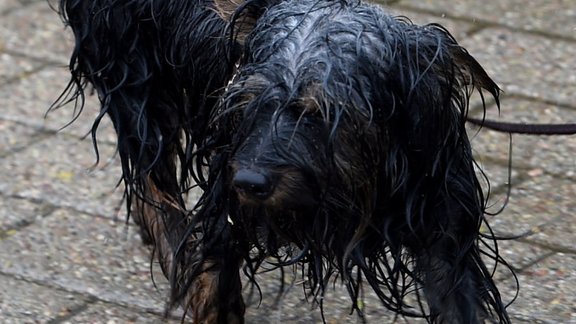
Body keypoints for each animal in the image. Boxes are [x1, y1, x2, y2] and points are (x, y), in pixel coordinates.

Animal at [55, 0, 512, 322]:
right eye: (247, 105)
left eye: (322, 113)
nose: (249, 181)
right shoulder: (225, 202)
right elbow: (215, 286)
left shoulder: (443, 225)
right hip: (134, 82)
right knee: (155, 189)